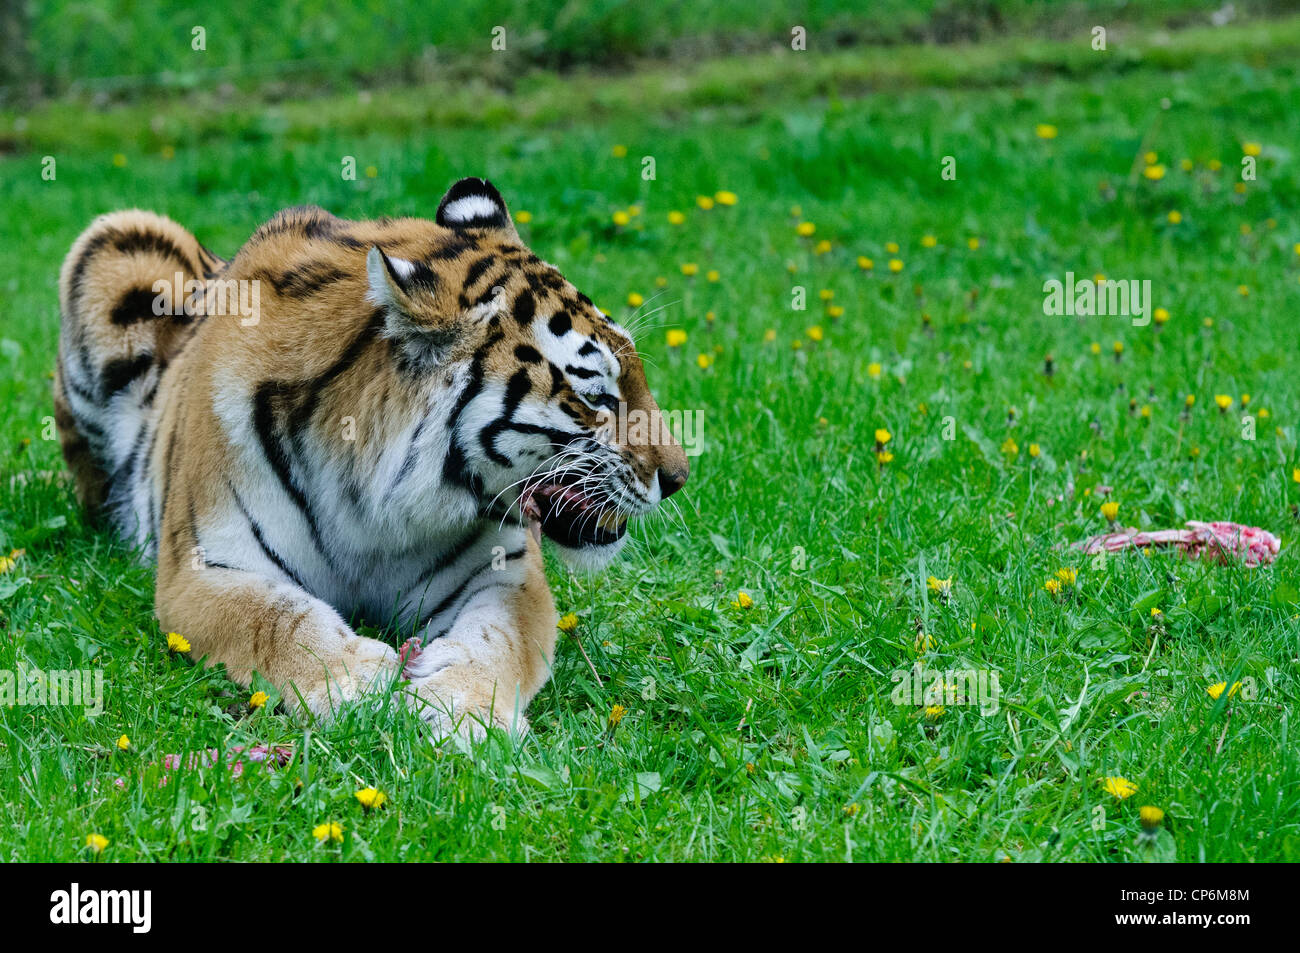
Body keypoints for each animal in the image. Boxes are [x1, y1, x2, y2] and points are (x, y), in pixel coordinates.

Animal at [53, 177, 688, 739]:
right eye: (596, 396)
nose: (679, 477)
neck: (370, 497)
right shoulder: (206, 569)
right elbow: (280, 620)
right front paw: (359, 683)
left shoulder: (503, 574)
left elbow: (498, 642)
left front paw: (463, 710)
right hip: (118, 242)